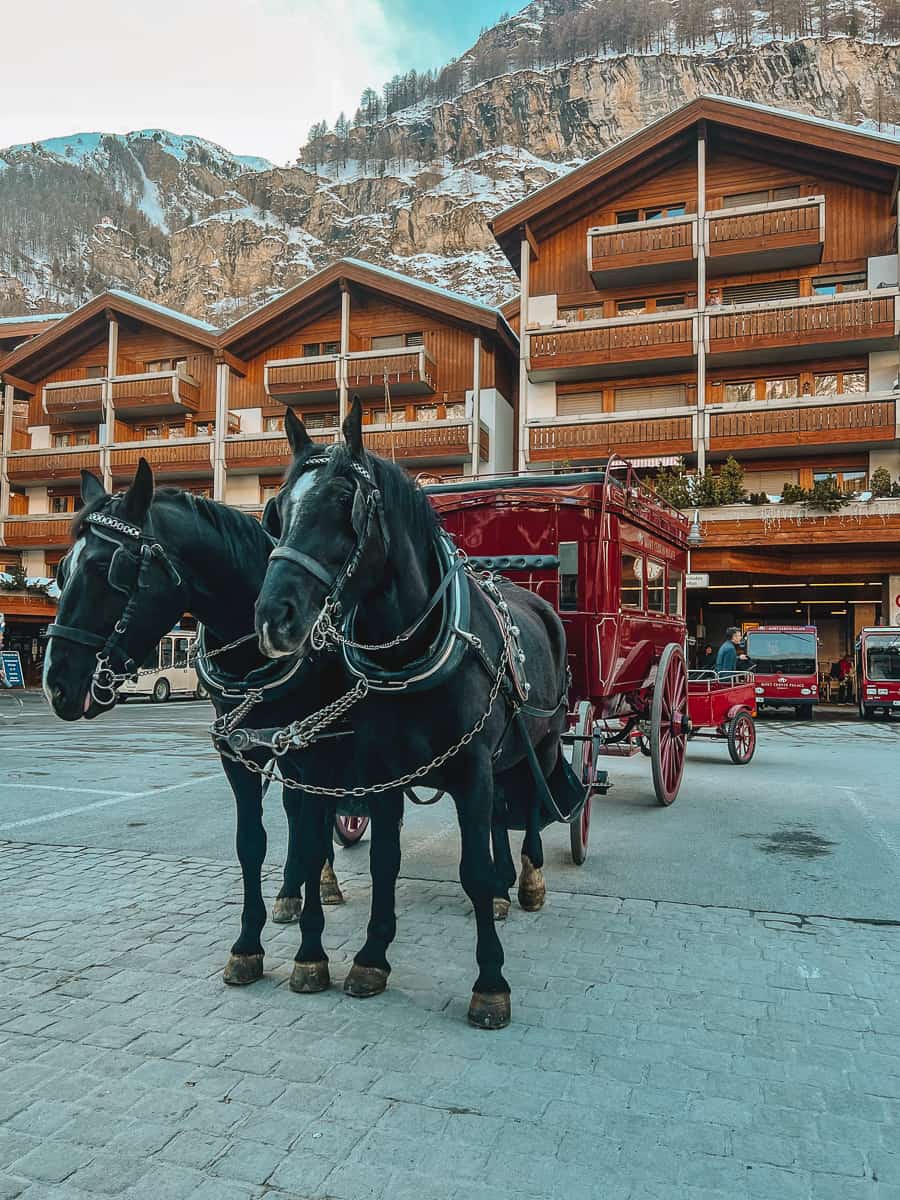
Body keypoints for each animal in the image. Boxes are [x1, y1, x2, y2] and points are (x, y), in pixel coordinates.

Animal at [42, 463, 405, 988]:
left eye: (104, 569)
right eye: (62, 570)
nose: (56, 685)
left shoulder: (316, 748)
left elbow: (314, 834)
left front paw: (310, 955)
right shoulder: (239, 752)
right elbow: (252, 842)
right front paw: (248, 945)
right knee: (299, 814)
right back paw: (298, 891)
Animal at [255, 403, 578, 1032]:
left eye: (343, 501)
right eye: (277, 511)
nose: (273, 617)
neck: (412, 647)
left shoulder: (472, 766)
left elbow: (472, 868)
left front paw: (490, 984)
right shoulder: (388, 772)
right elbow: (385, 862)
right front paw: (372, 958)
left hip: (543, 741)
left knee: (530, 806)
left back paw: (527, 880)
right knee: (501, 815)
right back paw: (503, 889)